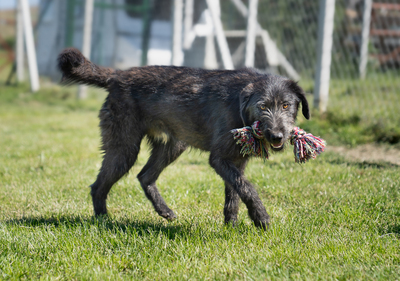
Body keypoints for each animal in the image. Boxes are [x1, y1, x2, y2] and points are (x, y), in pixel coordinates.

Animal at [58, 47, 310, 229]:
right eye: (262, 106)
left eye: (286, 105)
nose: (276, 135)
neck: (240, 106)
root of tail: (118, 75)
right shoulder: (219, 159)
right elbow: (247, 187)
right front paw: (260, 217)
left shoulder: (236, 161)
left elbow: (234, 193)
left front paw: (231, 226)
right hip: (124, 149)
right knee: (98, 186)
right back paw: (103, 220)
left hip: (173, 145)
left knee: (144, 176)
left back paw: (164, 211)